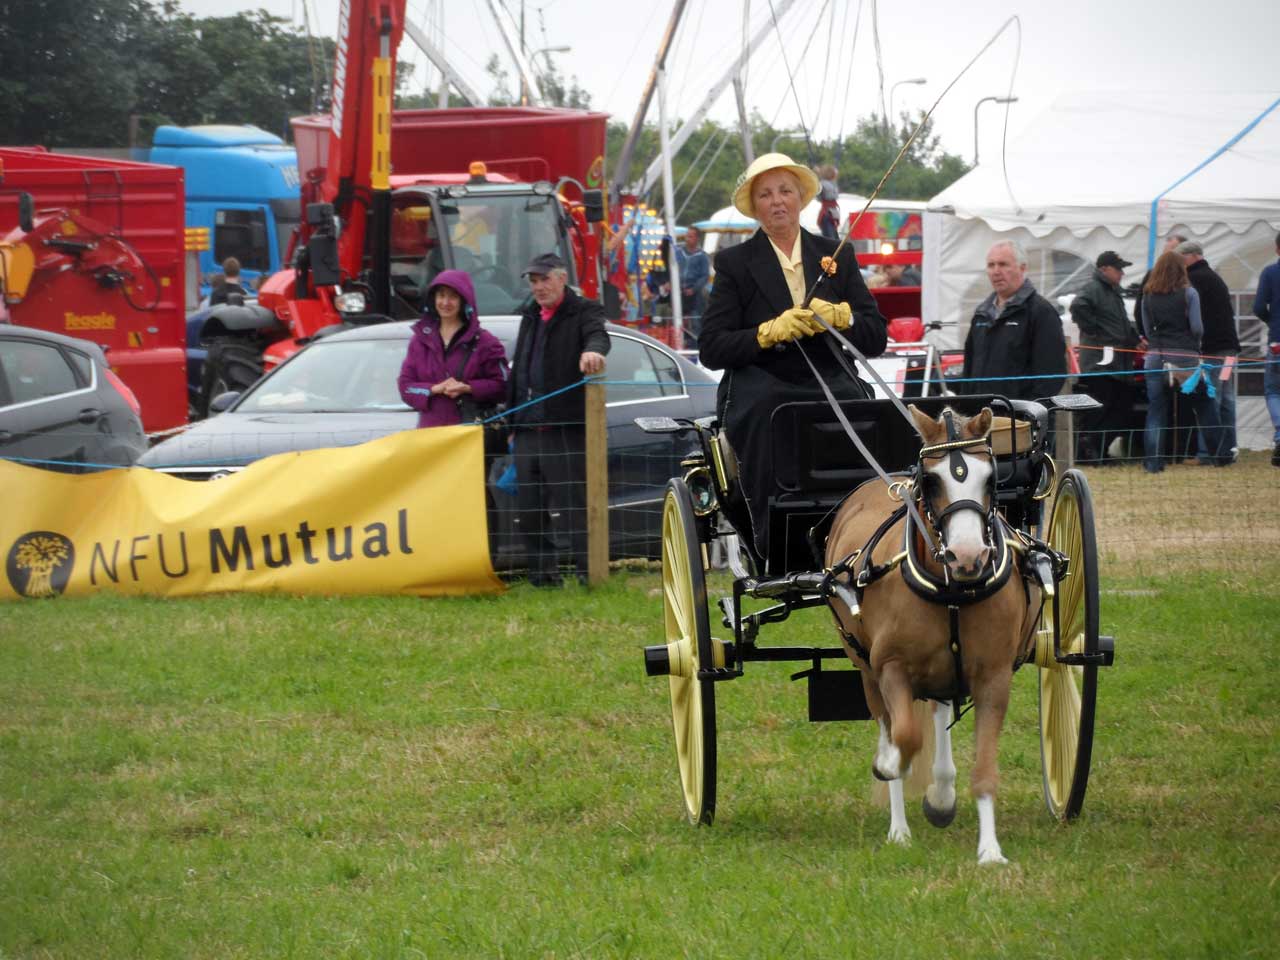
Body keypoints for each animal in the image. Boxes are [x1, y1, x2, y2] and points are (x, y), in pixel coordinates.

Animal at [824, 407, 1044, 865]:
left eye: (992, 478)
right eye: (931, 480)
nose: (968, 557)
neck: (952, 590)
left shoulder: (994, 677)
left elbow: (985, 768)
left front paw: (990, 849)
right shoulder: (890, 667)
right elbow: (906, 736)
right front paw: (890, 769)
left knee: (941, 709)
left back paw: (941, 794)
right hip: (865, 666)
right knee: (890, 722)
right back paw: (899, 824)